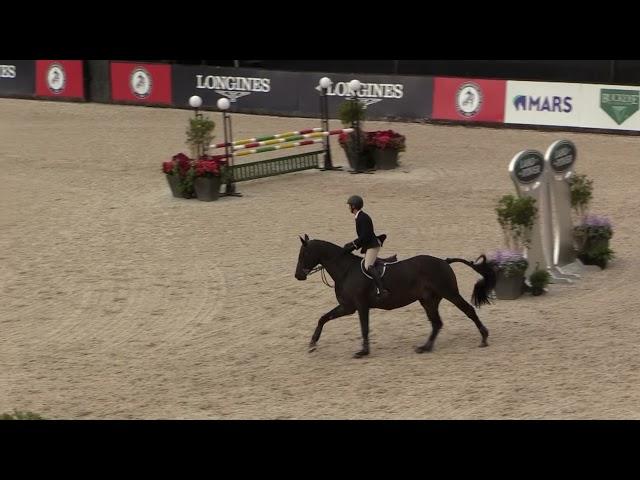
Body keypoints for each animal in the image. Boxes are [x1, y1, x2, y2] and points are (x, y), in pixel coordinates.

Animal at [296, 234, 496, 358]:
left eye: (304, 253)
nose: (298, 276)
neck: (346, 271)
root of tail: (444, 261)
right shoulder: (348, 307)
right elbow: (323, 318)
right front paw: (312, 344)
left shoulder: (360, 306)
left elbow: (364, 328)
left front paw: (363, 352)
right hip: (428, 300)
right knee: (436, 323)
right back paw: (425, 347)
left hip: (449, 293)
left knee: (468, 311)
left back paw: (484, 338)